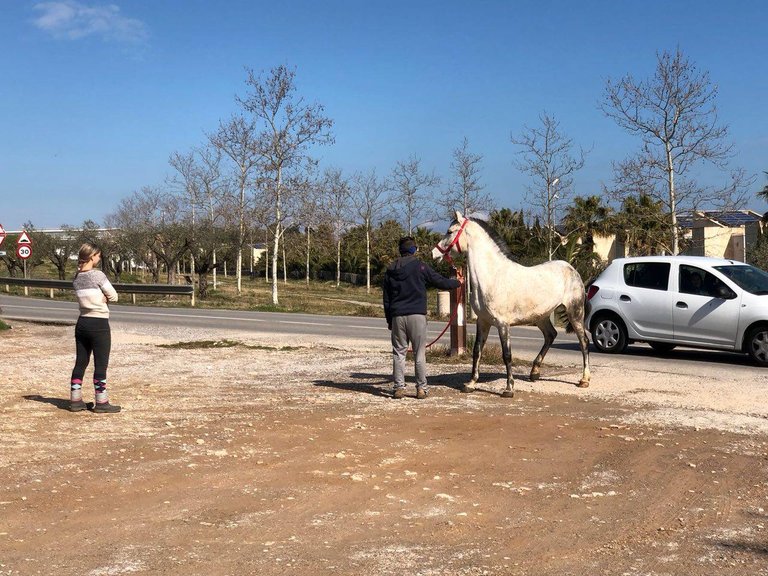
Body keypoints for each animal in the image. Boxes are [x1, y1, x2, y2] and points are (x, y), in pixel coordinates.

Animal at [432, 210, 592, 396]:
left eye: (450, 231)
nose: (434, 253)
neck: (492, 276)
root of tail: (572, 269)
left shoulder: (503, 324)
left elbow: (507, 354)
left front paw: (509, 388)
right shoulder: (483, 321)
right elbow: (477, 351)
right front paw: (470, 384)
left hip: (575, 313)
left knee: (583, 341)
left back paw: (584, 380)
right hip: (541, 316)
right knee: (550, 335)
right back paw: (534, 372)